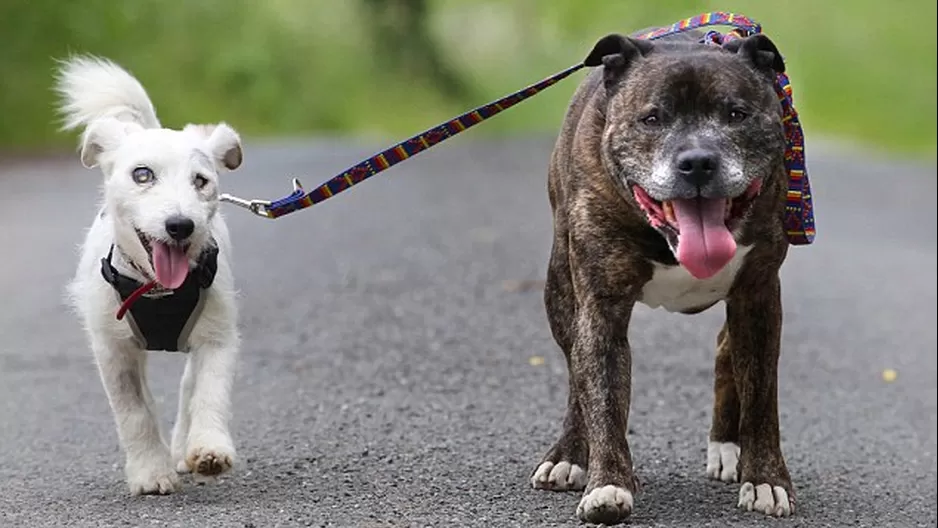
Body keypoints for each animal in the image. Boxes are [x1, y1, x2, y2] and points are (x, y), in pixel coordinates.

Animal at [54, 56, 245, 496]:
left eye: (201, 180)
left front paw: (210, 449)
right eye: (142, 175)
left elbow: (210, 391)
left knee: (188, 387)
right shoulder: (113, 349)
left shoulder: (218, 337)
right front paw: (149, 472)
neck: (157, 289)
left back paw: (184, 448)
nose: (180, 225)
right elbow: (134, 412)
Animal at [532, 31, 792, 524]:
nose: (698, 161)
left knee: (726, 350)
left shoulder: (758, 297)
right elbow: (602, 394)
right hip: (560, 291)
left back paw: (726, 446)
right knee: (576, 371)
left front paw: (767, 480)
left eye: (736, 114)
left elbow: (763, 397)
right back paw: (569, 456)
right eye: (652, 118)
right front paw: (608, 483)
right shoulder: (601, 306)